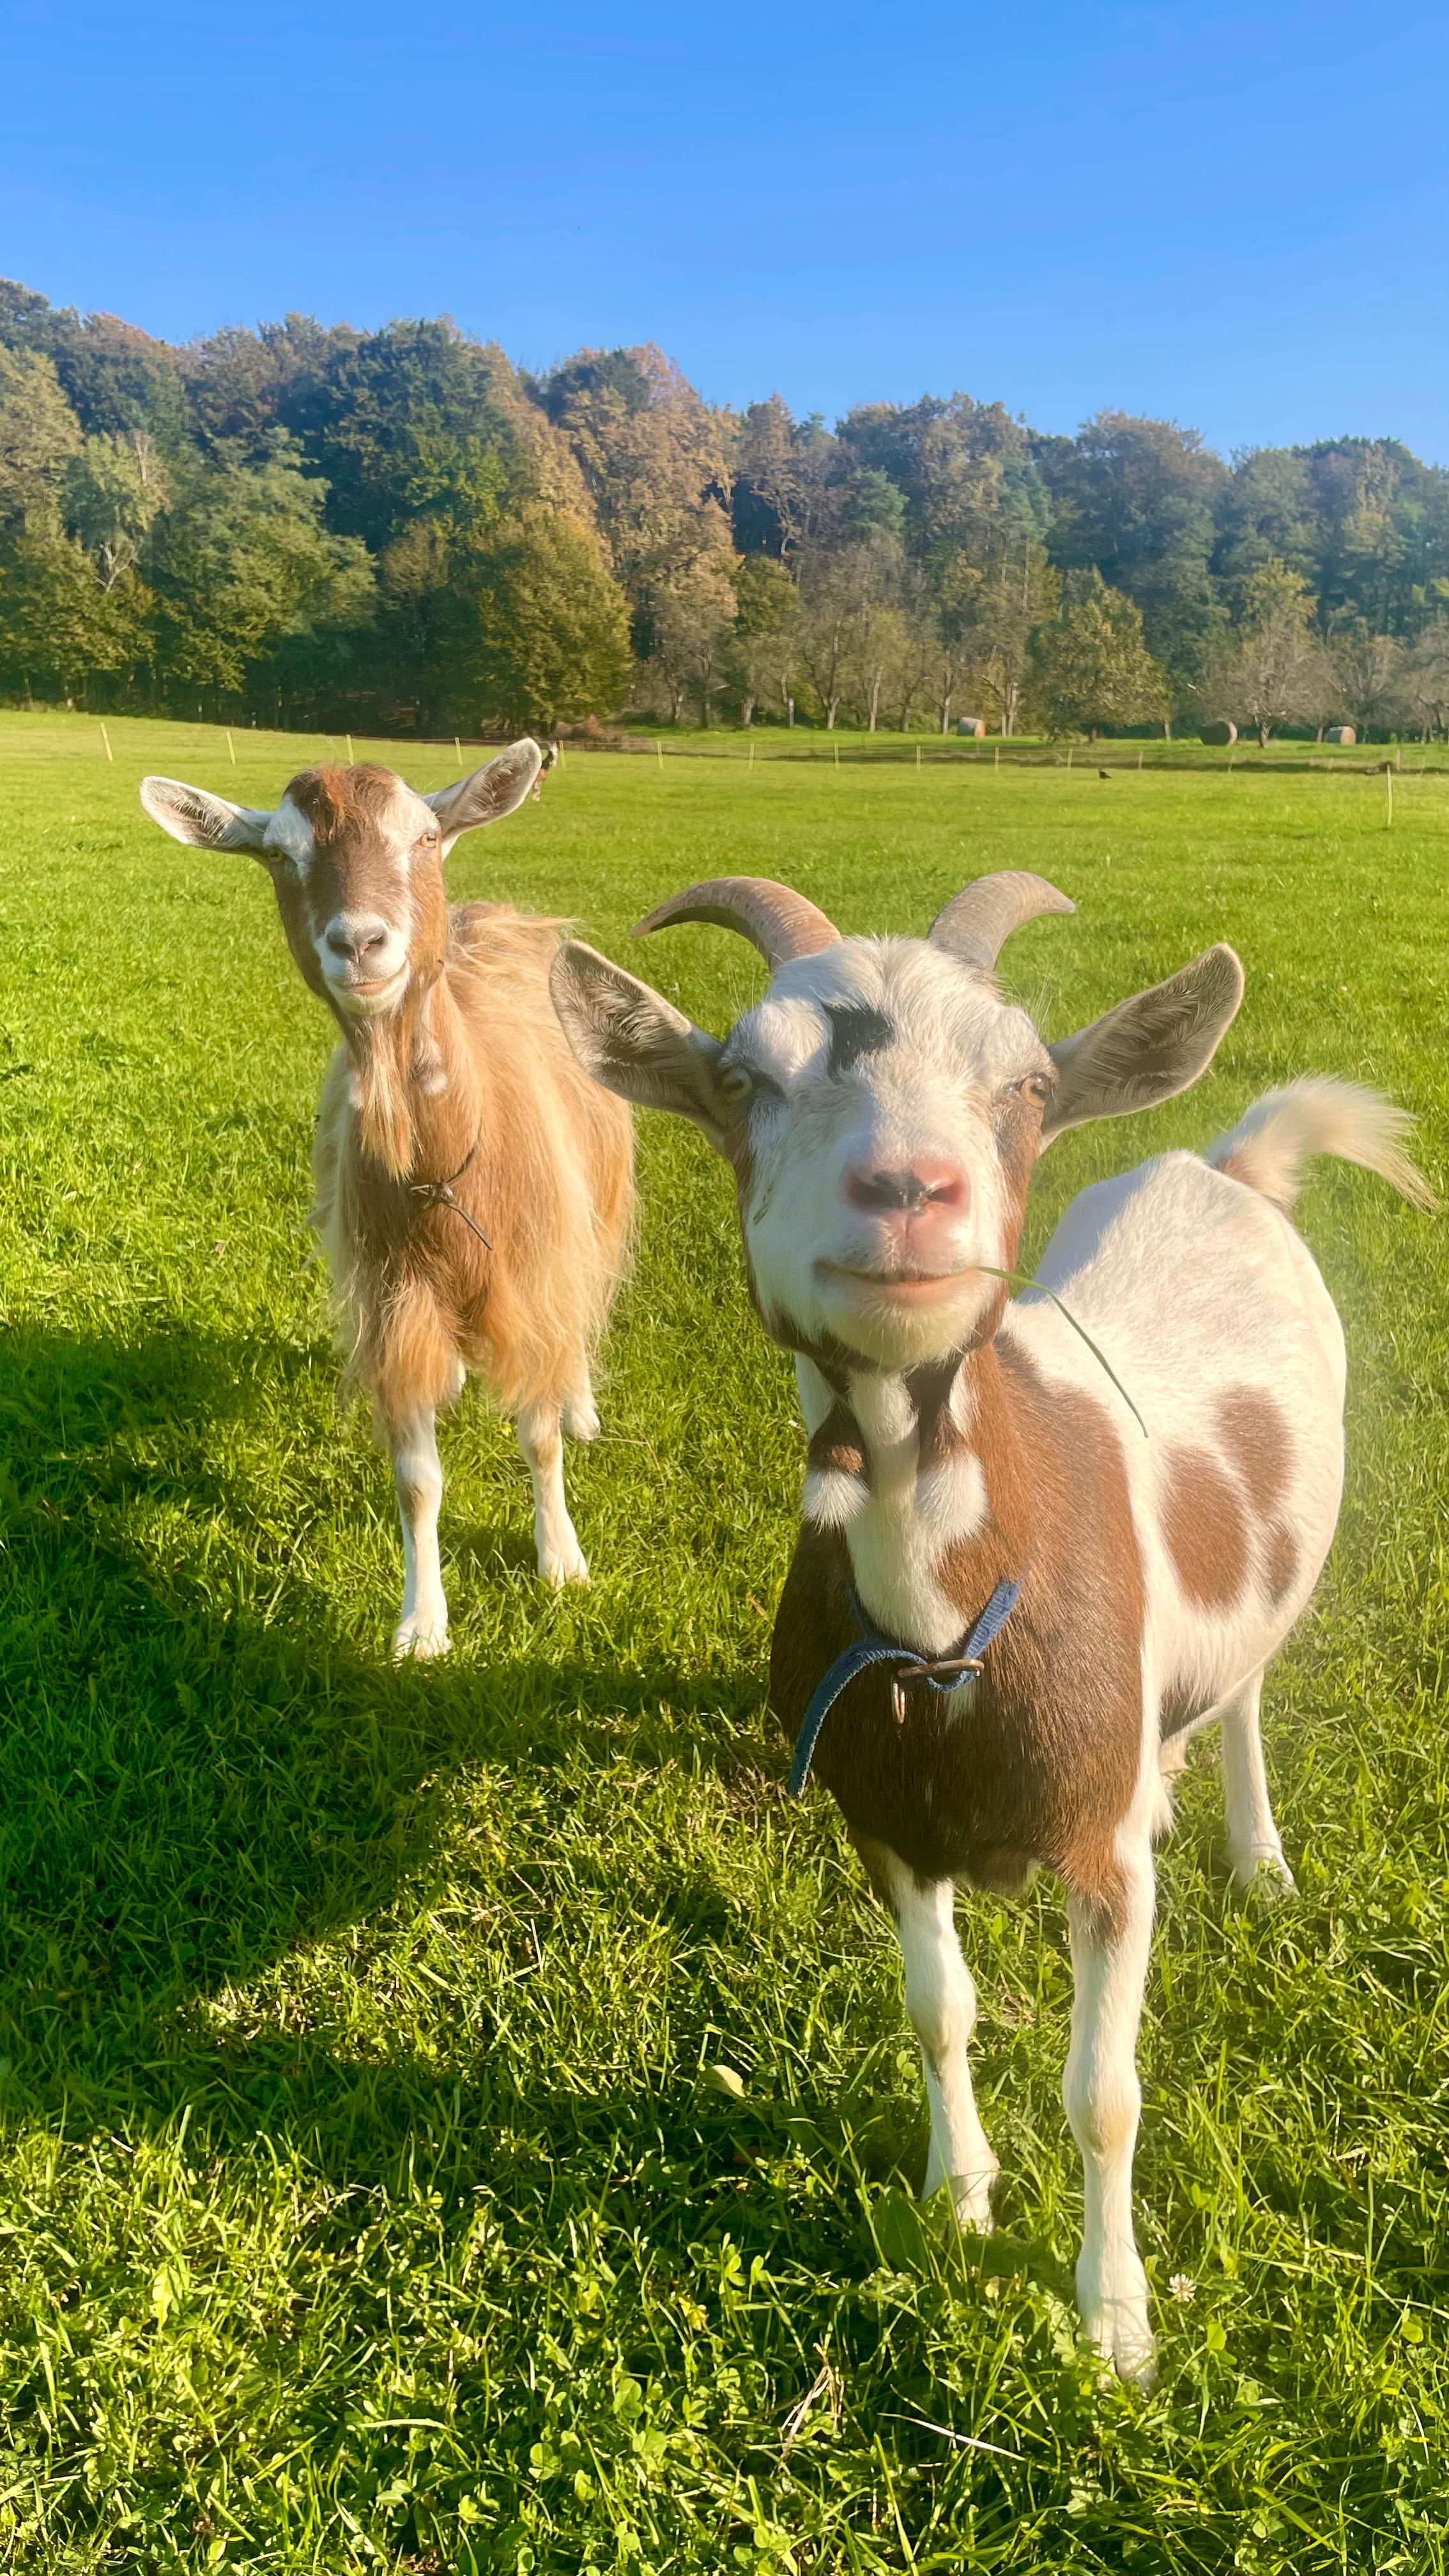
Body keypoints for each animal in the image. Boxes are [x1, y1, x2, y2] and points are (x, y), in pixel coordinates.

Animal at [140, 743, 633, 1653]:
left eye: (428, 835)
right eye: (279, 855)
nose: (362, 942)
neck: (449, 1175)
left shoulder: (532, 1274)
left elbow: (540, 1436)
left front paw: (561, 1562)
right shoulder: (395, 1299)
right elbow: (416, 1480)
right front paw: (422, 1626)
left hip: (598, 1206)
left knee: (584, 1316)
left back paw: (583, 1401)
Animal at [549, 868, 1430, 2381]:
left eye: (1024, 1080)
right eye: (744, 1078)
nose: (910, 1189)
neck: (945, 1631)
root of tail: (1227, 1163)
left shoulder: (1100, 1856)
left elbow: (1104, 2090)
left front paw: (1116, 2322)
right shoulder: (887, 1822)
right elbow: (935, 2008)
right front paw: (958, 2194)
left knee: (1250, 1685)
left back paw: (1255, 1854)